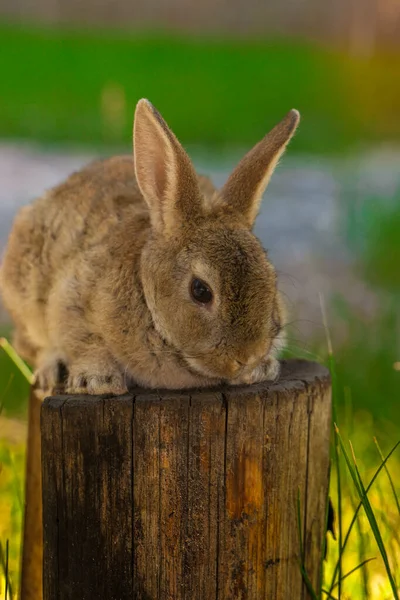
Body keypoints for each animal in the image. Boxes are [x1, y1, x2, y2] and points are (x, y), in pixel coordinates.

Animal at [0, 98, 298, 394]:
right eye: (200, 291)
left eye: (271, 281)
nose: (247, 356)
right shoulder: (70, 301)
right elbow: (83, 344)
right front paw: (98, 381)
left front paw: (262, 370)